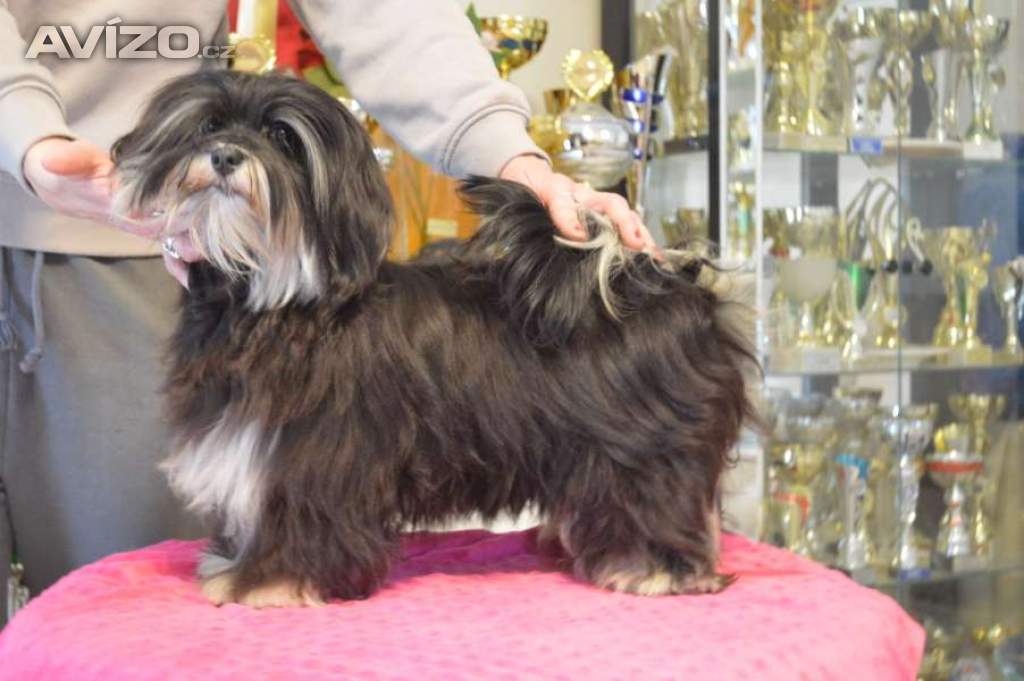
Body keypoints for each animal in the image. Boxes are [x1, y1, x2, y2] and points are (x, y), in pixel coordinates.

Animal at [111, 70, 757, 608]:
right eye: (210, 125)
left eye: (282, 137)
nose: (224, 154)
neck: (276, 301)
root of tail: (659, 279)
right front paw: (234, 563)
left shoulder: (310, 456)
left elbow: (299, 514)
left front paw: (274, 580)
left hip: (646, 450)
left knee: (659, 500)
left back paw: (655, 568)